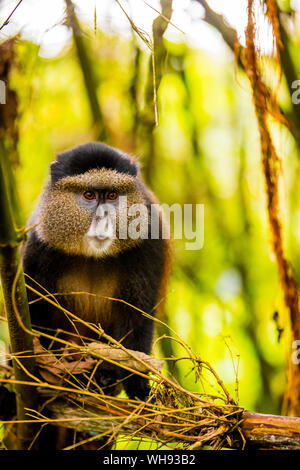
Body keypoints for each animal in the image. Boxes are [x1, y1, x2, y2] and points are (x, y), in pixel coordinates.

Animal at [22, 142, 171, 404]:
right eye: (89, 195)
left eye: (112, 196)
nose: (103, 218)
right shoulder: (39, 245)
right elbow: (34, 309)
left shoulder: (149, 242)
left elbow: (137, 317)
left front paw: (139, 390)